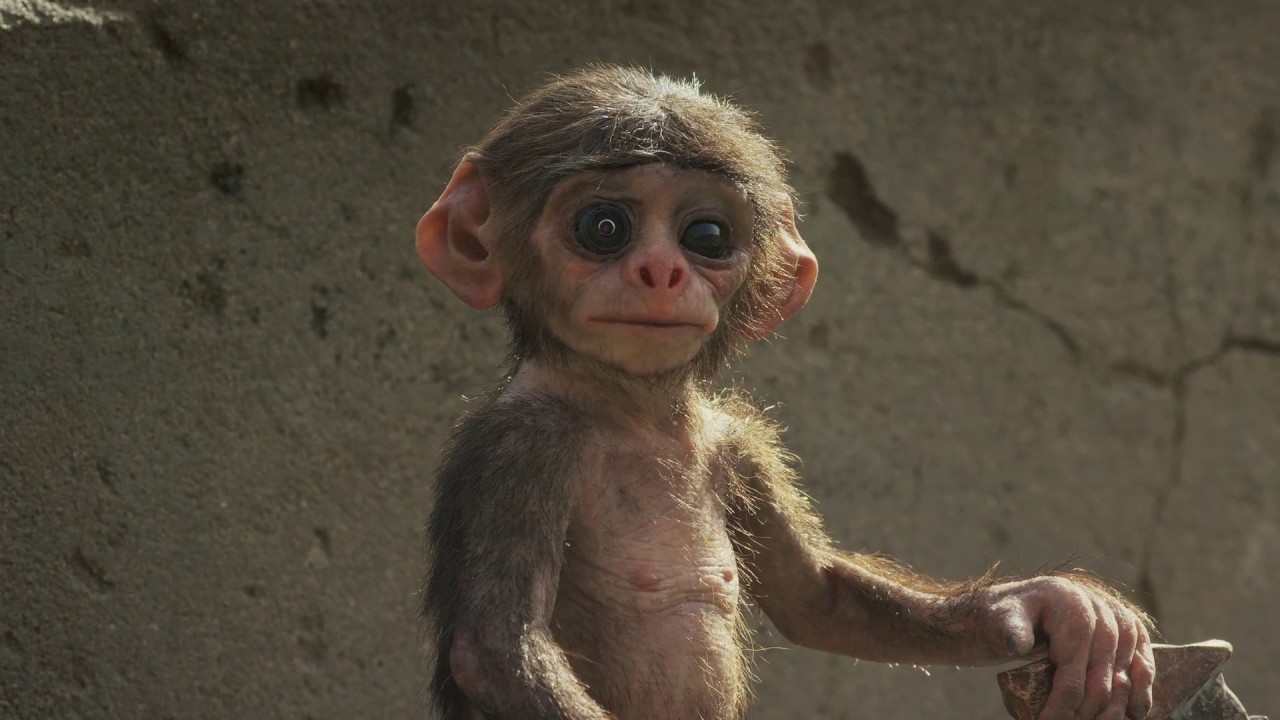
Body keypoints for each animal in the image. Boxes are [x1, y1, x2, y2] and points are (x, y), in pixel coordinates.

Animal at [415, 65, 1156, 720]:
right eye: (603, 227)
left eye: (706, 236)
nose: (659, 269)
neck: (634, 413)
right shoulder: (517, 452)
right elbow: (499, 651)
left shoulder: (741, 450)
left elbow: (817, 595)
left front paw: (1055, 605)